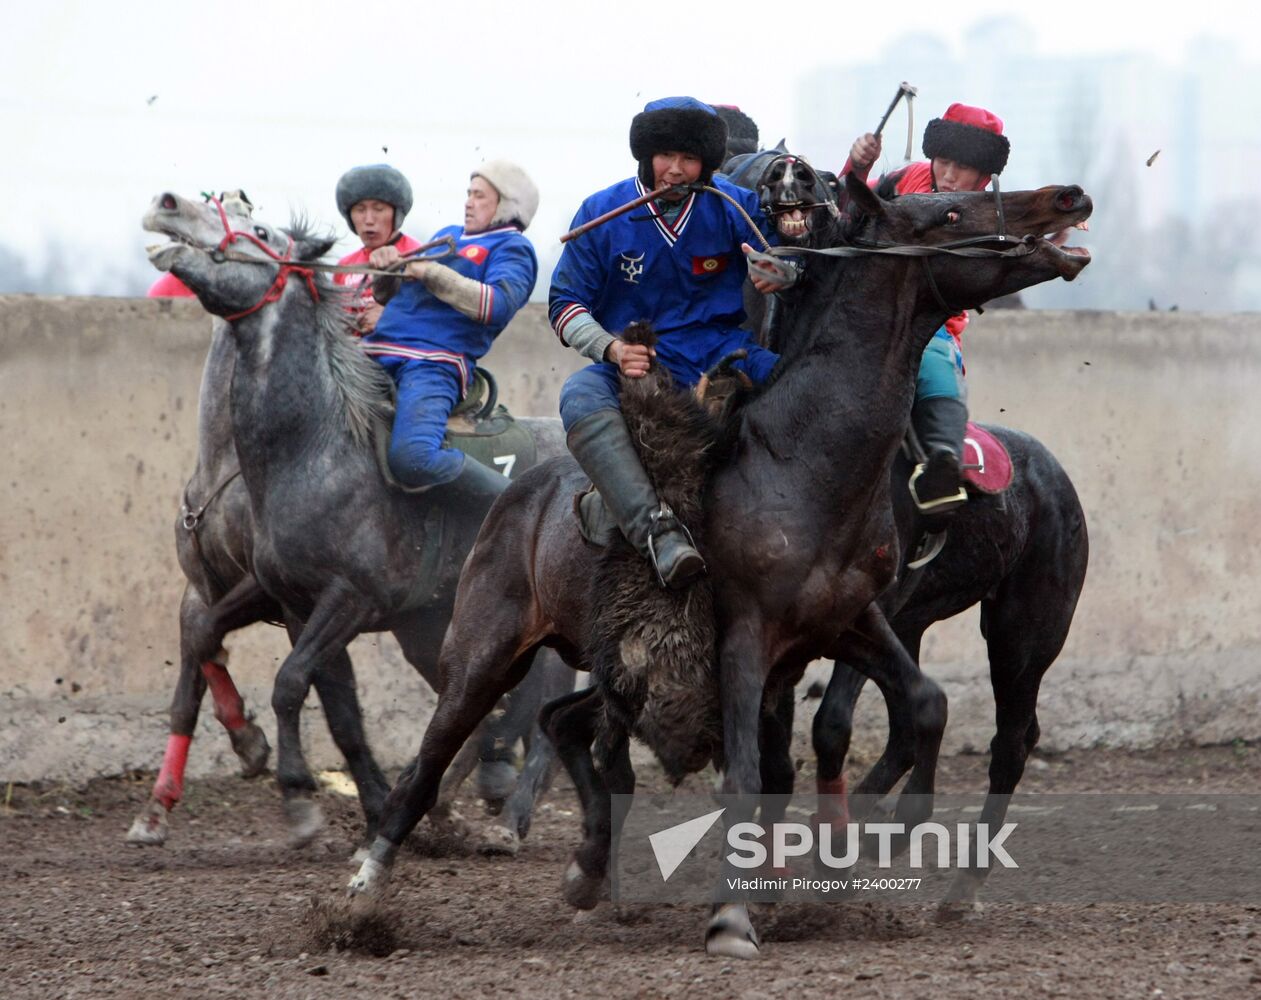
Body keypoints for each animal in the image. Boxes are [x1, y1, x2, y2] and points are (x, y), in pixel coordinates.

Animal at [140, 195, 569, 852]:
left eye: (259, 229)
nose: (167, 204)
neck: (314, 450)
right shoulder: (286, 600)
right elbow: (318, 699)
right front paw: (364, 807)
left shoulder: (350, 599)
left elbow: (291, 682)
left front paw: (298, 795)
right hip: (435, 627)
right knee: (484, 704)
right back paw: (447, 803)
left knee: (543, 705)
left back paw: (508, 817)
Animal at [348, 175, 1094, 953]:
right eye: (947, 212)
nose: (1066, 197)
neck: (800, 462)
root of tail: (515, 493)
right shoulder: (744, 641)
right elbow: (746, 772)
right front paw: (735, 915)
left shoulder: (848, 622)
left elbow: (922, 704)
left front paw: (890, 829)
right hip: (485, 651)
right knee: (433, 757)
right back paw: (367, 891)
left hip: (1013, 633)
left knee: (564, 723)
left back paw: (590, 869)